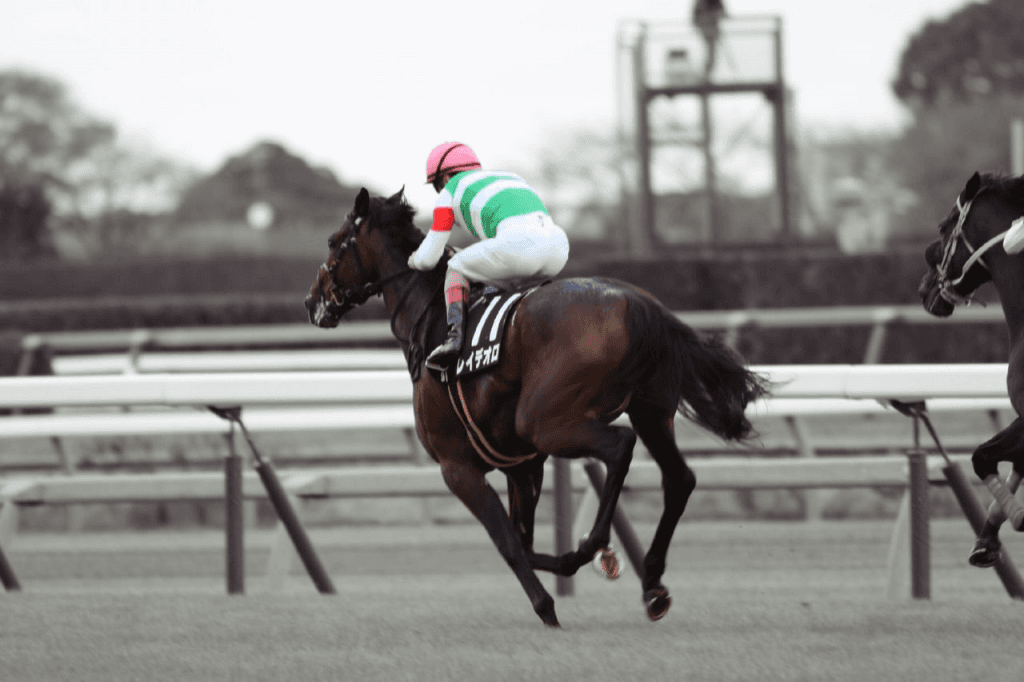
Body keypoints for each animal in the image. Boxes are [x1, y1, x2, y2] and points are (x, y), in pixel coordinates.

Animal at [305, 187, 769, 626]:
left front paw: (549, 606)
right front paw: (573, 568)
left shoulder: (457, 467)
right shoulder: (522, 466)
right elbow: (522, 541)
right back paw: (651, 581)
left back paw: (595, 545)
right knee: (679, 477)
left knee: (620, 445)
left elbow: (507, 543)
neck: (429, 321)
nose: (312, 303)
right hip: (650, 411)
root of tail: (639, 303)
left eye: (332, 242)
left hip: (545, 422)